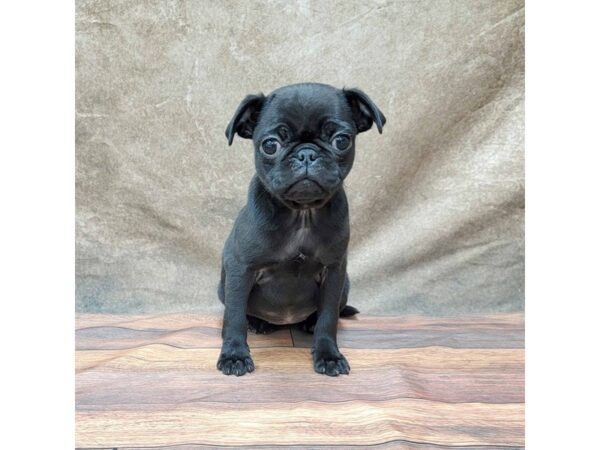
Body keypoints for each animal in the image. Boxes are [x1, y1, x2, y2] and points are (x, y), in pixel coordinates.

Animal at [216, 81, 384, 376]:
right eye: (270, 145)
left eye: (341, 140)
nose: (307, 153)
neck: (302, 213)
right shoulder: (241, 268)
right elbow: (234, 316)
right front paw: (234, 355)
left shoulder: (334, 271)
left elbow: (328, 317)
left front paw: (328, 355)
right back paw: (258, 323)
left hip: (345, 283)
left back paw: (308, 323)